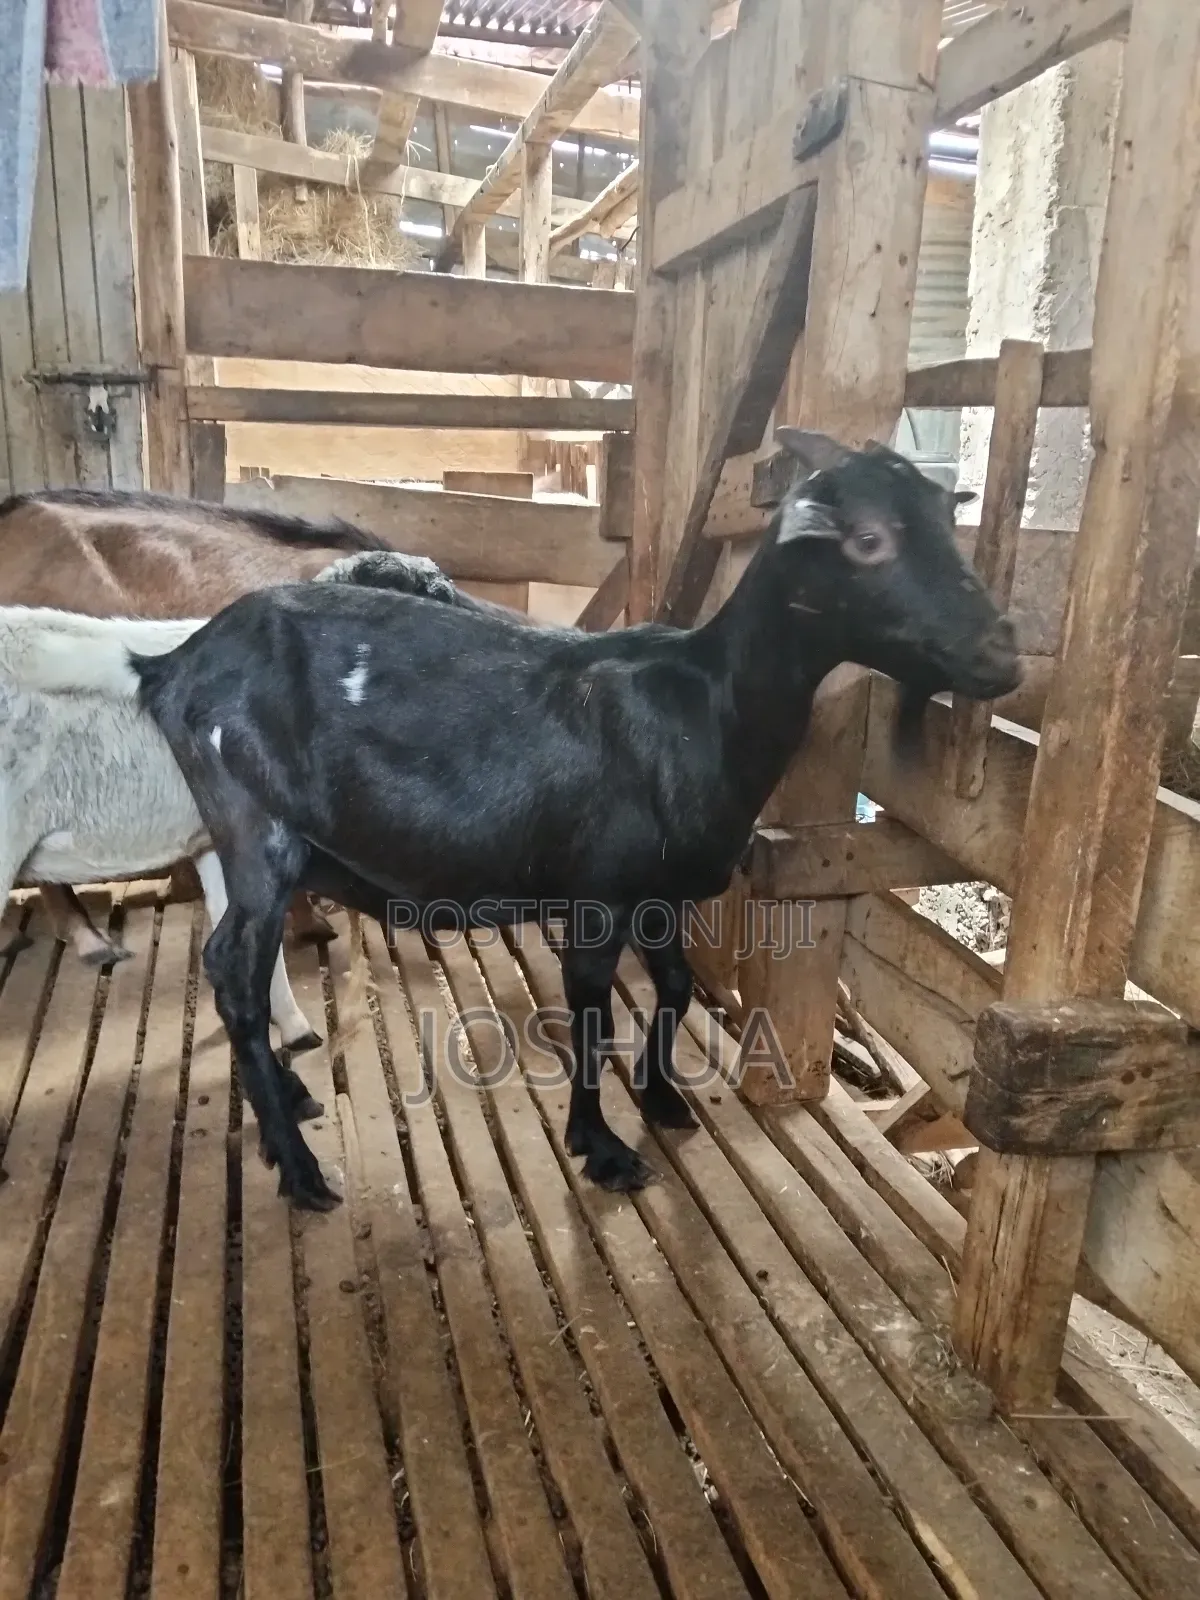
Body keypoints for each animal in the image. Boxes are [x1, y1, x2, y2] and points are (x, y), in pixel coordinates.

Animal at [130, 430, 1021, 1211]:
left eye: (943, 519)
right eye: (869, 539)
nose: (1002, 653)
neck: (708, 702)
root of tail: (175, 667)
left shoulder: (660, 895)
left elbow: (676, 986)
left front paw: (662, 1099)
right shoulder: (598, 895)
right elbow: (592, 1012)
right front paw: (603, 1147)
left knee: (238, 969)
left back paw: (290, 1111)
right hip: (255, 825)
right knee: (234, 971)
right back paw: (301, 1168)